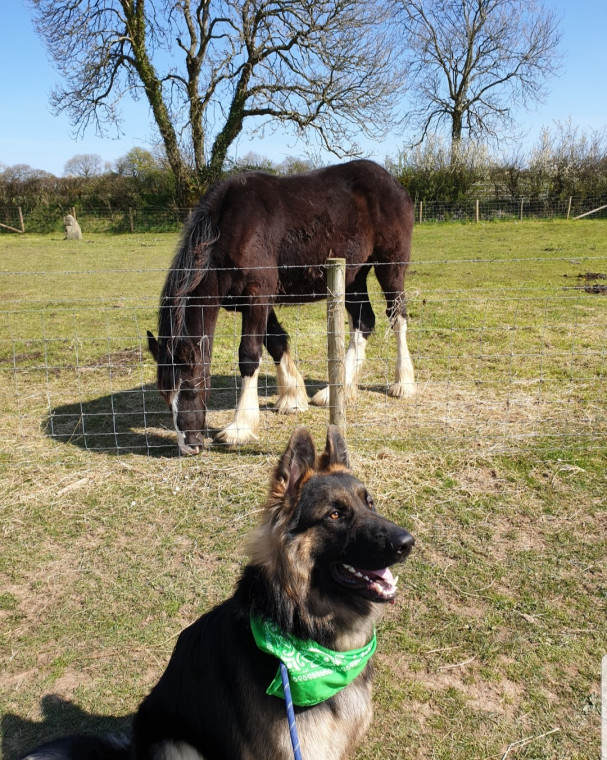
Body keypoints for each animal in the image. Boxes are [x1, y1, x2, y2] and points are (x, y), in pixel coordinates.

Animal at [148, 160, 418, 454]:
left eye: (190, 389)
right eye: (165, 395)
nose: (190, 446)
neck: (231, 228)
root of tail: (392, 181)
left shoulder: (257, 296)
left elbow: (249, 354)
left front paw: (239, 427)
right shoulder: (257, 302)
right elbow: (276, 341)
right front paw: (293, 397)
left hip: (390, 267)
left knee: (398, 317)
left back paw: (403, 383)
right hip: (353, 276)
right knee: (364, 321)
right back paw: (336, 391)